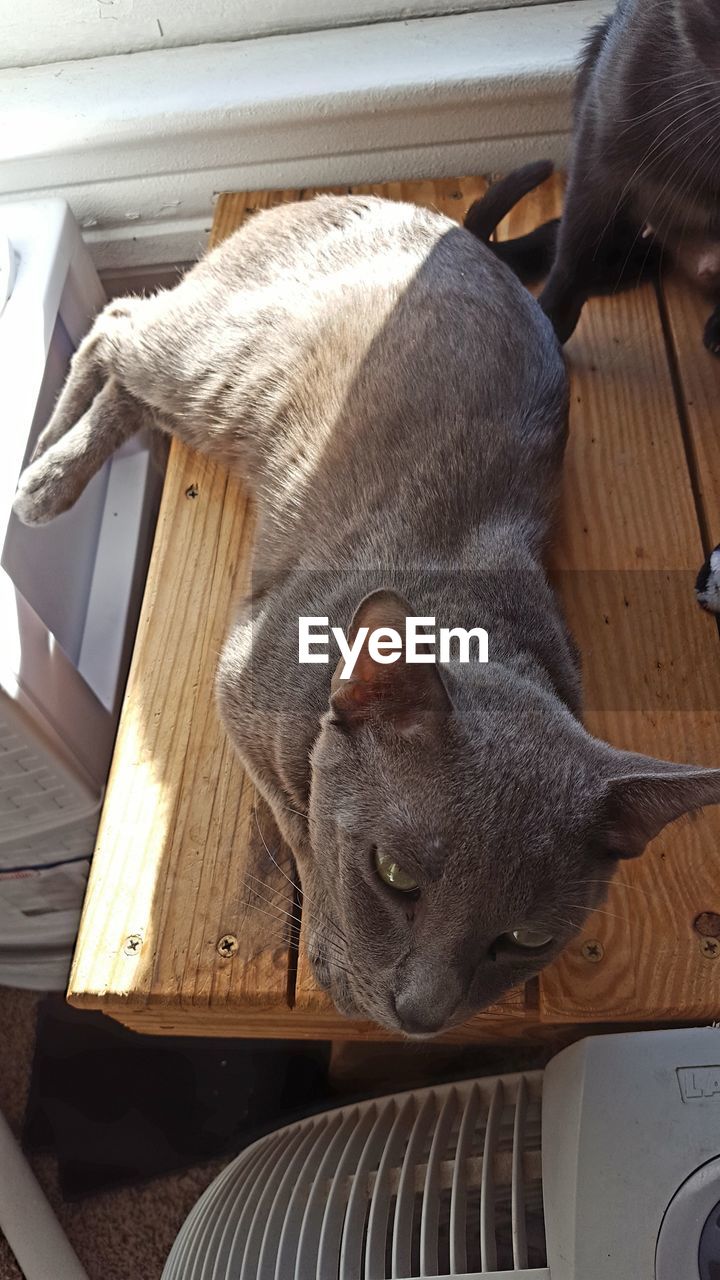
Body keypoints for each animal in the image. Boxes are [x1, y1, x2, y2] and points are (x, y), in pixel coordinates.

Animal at [14, 189, 717, 1034]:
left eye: (525, 938)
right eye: (393, 875)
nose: (422, 1013)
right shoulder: (239, 683)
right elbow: (303, 820)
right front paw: (333, 949)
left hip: (214, 404)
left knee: (128, 367)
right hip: (217, 365)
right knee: (117, 321)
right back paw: (44, 470)